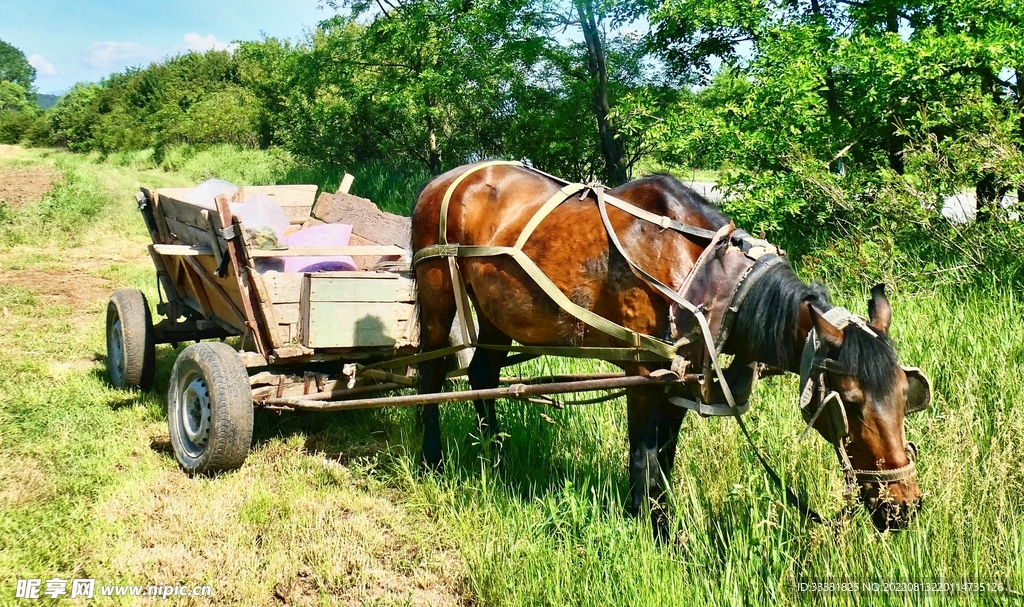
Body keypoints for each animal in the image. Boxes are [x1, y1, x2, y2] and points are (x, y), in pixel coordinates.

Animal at [409, 161, 929, 536]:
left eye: (908, 396)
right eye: (850, 405)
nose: (903, 508)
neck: (706, 270)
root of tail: (443, 180)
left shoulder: (679, 377)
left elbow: (666, 454)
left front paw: (660, 523)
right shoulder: (643, 372)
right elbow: (644, 456)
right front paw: (649, 529)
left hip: (497, 315)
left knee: (483, 376)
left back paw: (493, 459)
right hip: (438, 296)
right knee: (430, 377)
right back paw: (432, 461)